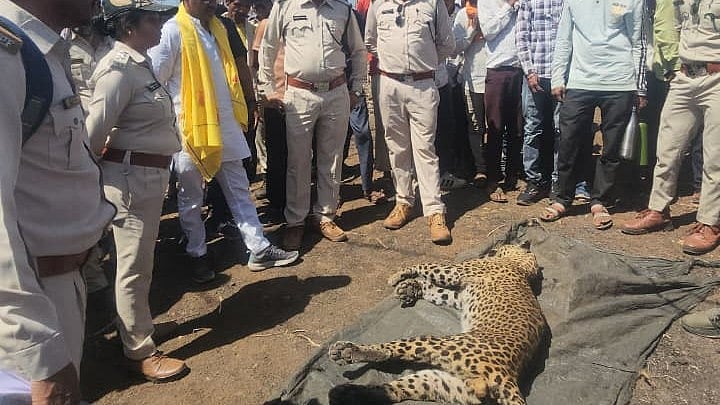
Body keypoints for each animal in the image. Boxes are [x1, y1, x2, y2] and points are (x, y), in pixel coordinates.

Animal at [327, 244, 547, 405]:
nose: (494, 247)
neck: (523, 268)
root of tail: (509, 376)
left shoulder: (454, 271)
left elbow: (425, 264)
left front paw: (398, 276)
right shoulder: (458, 295)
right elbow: (437, 291)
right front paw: (409, 288)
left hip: (439, 344)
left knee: (389, 351)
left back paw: (346, 351)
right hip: (444, 384)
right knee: (392, 390)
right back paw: (343, 392)